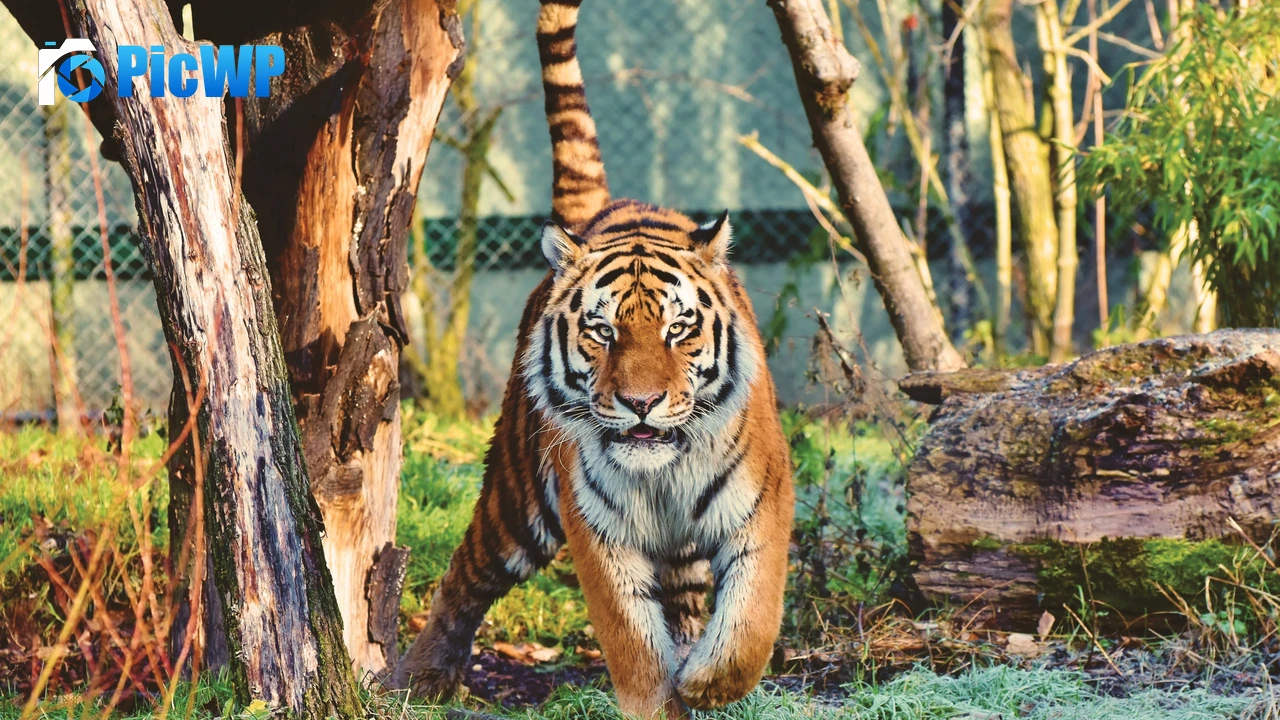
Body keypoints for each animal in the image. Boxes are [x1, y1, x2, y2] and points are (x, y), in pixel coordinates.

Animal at [394, 1, 794, 716]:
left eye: (679, 329)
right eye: (602, 332)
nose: (641, 403)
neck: (664, 475)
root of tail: (607, 206)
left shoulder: (763, 506)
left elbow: (751, 624)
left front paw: (704, 682)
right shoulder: (598, 531)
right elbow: (632, 642)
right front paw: (661, 696)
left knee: (686, 602)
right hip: (517, 499)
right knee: (464, 576)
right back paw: (419, 678)